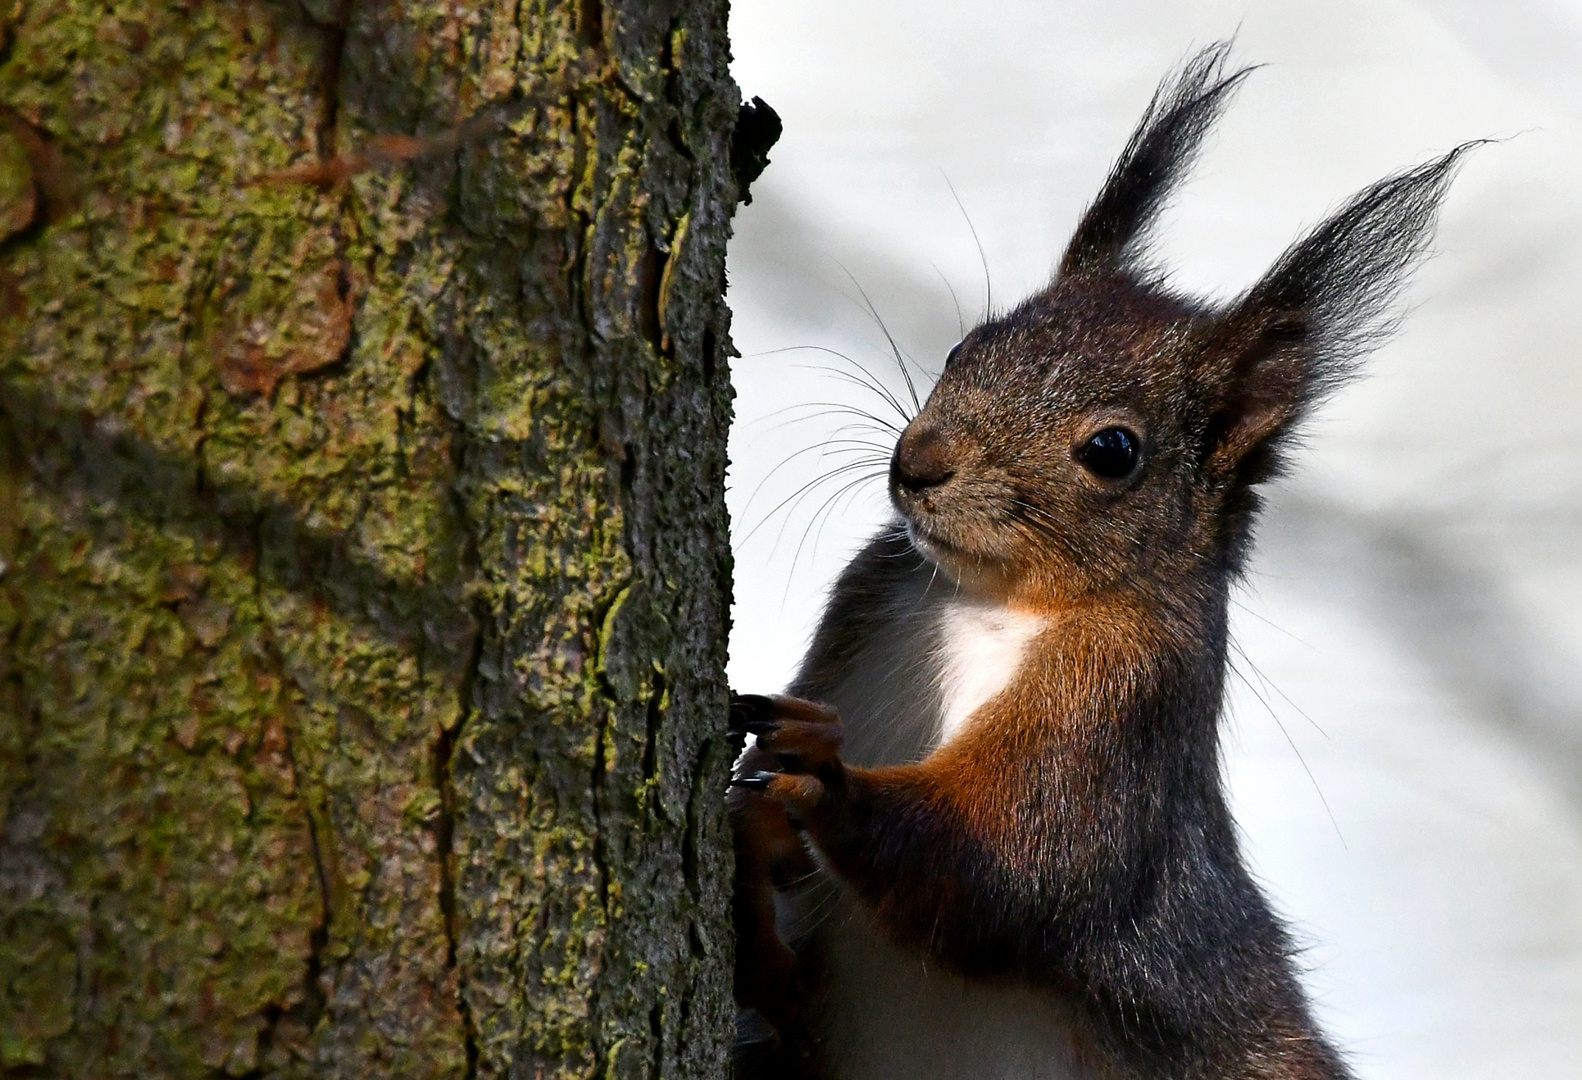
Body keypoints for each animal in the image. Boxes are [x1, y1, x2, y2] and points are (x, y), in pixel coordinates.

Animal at [724, 44, 1474, 1080]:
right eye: (965, 346)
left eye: (1113, 451)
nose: (917, 464)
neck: (986, 602)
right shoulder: (866, 598)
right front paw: (758, 835)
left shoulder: (1120, 704)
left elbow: (1007, 868)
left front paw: (821, 776)